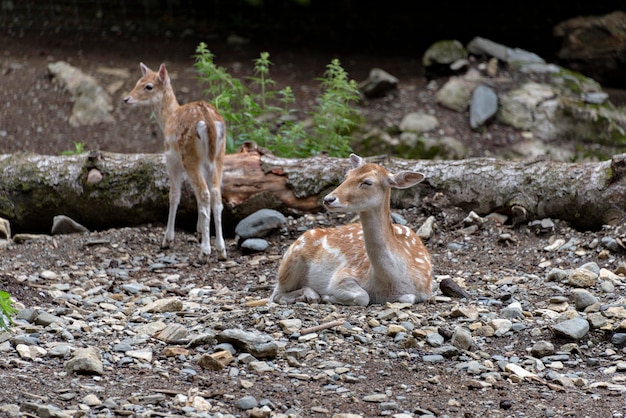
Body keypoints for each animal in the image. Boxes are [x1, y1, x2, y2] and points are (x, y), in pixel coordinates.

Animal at [122, 63, 227, 262]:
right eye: (138, 81)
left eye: (148, 86)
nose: (126, 99)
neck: (168, 118)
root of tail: (209, 122)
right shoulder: (203, 164)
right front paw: (199, 232)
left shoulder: (171, 158)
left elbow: (174, 195)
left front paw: (167, 240)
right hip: (218, 158)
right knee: (216, 195)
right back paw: (221, 250)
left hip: (189, 157)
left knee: (204, 194)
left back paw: (205, 252)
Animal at [270, 153, 432, 304]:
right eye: (347, 176)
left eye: (368, 182)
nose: (328, 199)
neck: (390, 281)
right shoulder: (344, 274)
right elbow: (363, 296)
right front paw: (328, 296)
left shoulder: (426, 291)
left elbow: (409, 297)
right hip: (290, 261)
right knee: (275, 295)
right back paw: (311, 295)